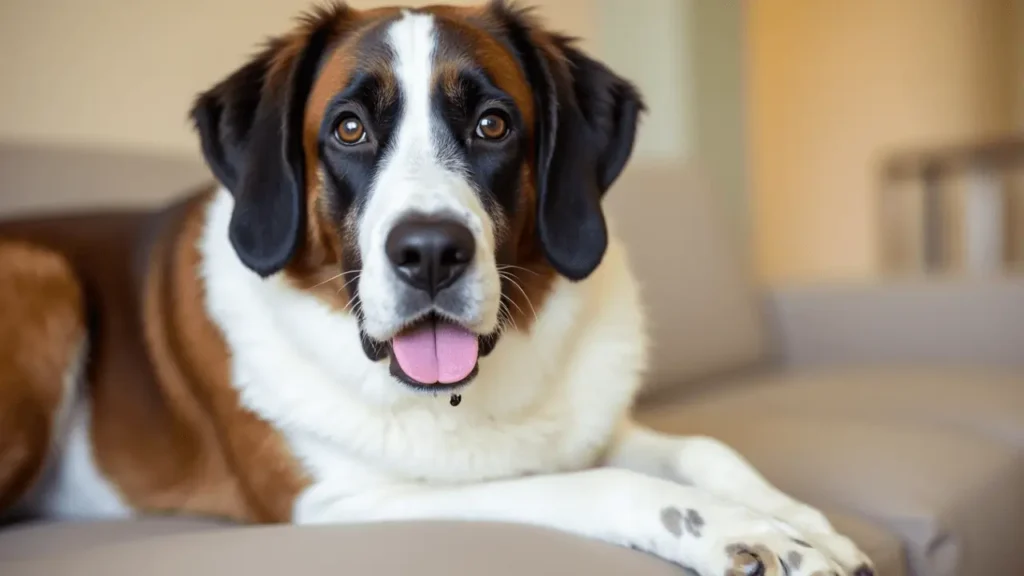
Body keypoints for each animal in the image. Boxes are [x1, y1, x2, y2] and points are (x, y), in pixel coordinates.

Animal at [2, 2, 872, 569]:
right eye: (349, 128)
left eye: (492, 124)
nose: (428, 253)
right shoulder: (353, 501)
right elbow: (598, 485)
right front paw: (740, 532)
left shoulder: (601, 427)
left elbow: (702, 447)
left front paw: (797, 520)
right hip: (43, 276)